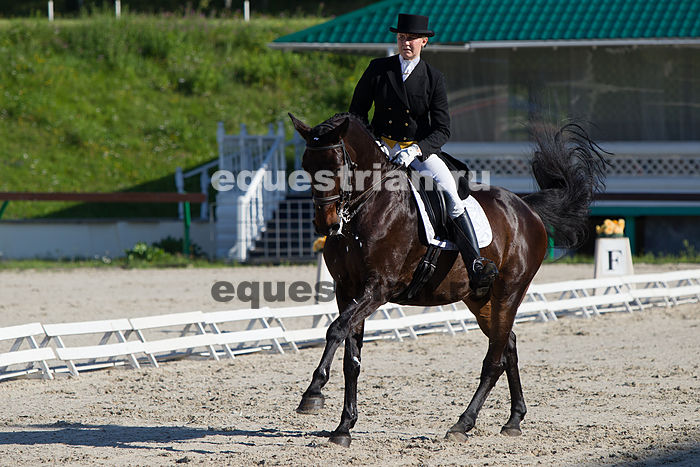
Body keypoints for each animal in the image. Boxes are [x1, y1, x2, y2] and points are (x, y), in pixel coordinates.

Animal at [289, 112, 608, 447]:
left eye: (337, 164)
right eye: (307, 164)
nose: (326, 223)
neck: (368, 207)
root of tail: (526, 208)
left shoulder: (377, 289)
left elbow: (336, 330)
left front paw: (313, 393)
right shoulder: (347, 290)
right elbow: (351, 359)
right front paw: (343, 428)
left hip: (509, 292)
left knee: (494, 359)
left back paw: (463, 424)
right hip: (480, 299)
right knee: (507, 345)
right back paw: (513, 420)